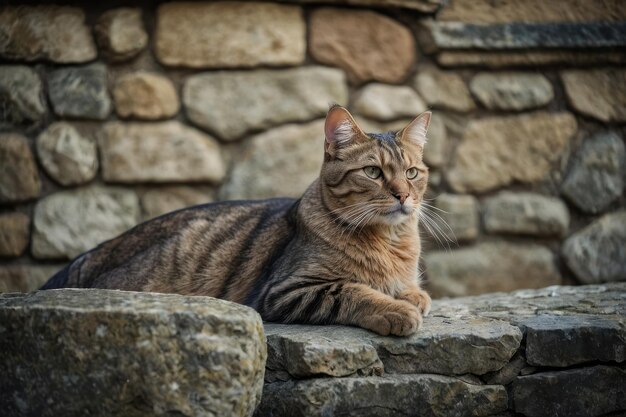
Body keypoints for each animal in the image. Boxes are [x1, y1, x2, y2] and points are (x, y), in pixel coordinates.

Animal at [41, 105, 432, 336]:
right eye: (373, 172)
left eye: (412, 173)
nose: (403, 196)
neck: (391, 241)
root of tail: (92, 254)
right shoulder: (286, 292)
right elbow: (355, 291)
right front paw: (397, 310)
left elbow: (415, 291)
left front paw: (411, 296)